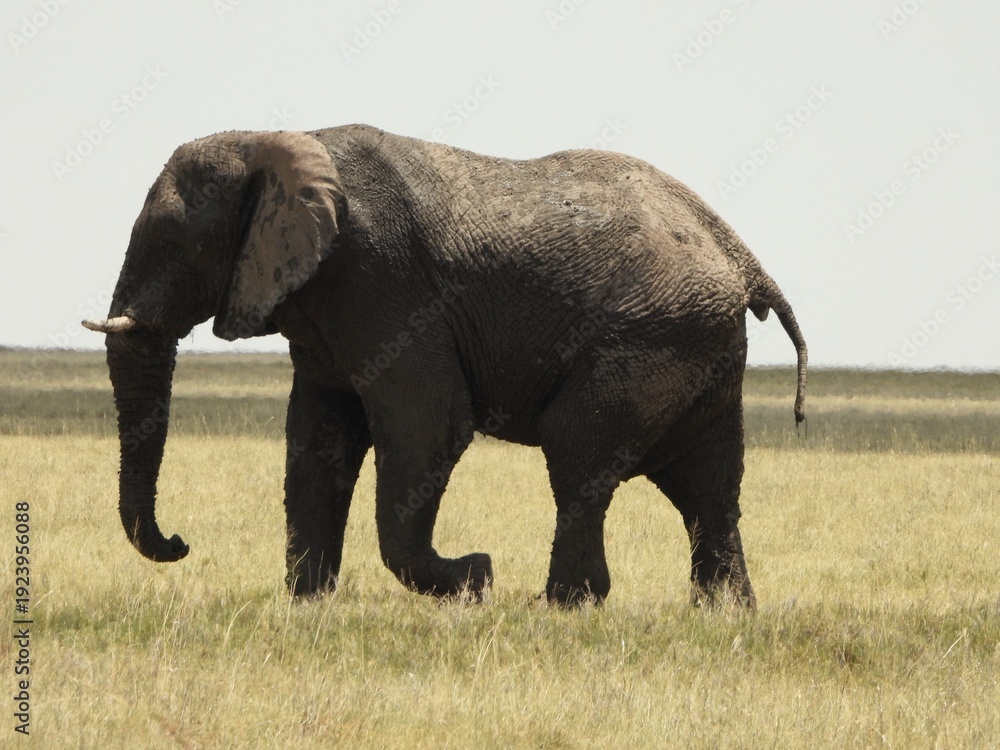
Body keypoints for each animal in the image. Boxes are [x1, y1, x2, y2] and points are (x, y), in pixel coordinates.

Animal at [83, 124, 806, 607]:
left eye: (175, 241)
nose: (180, 542)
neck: (272, 139)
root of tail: (743, 259)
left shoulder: (382, 281)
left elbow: (429, 422)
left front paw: (473, 578)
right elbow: (318, 437)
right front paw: (307, 605)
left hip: (652, 336)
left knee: (580, 452)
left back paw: (563, 606)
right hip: (696, 345)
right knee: (708, 485)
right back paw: (724, 615)